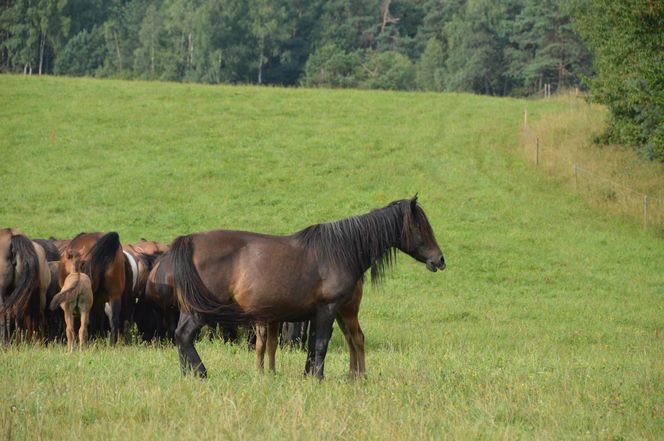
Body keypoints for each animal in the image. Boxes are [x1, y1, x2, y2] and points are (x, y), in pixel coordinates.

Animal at [170, 196, 446, 378]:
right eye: (421, 227)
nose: (440, 259)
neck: (341, 251)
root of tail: (190, 240)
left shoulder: (326, 312)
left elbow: (317, 345)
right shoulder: (328, 308)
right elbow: (321, 344)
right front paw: (317, 378)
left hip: (189, 308)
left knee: (180, 336)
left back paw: (187, 373)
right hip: (201, 309)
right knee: (185, 336)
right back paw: (200, 373)